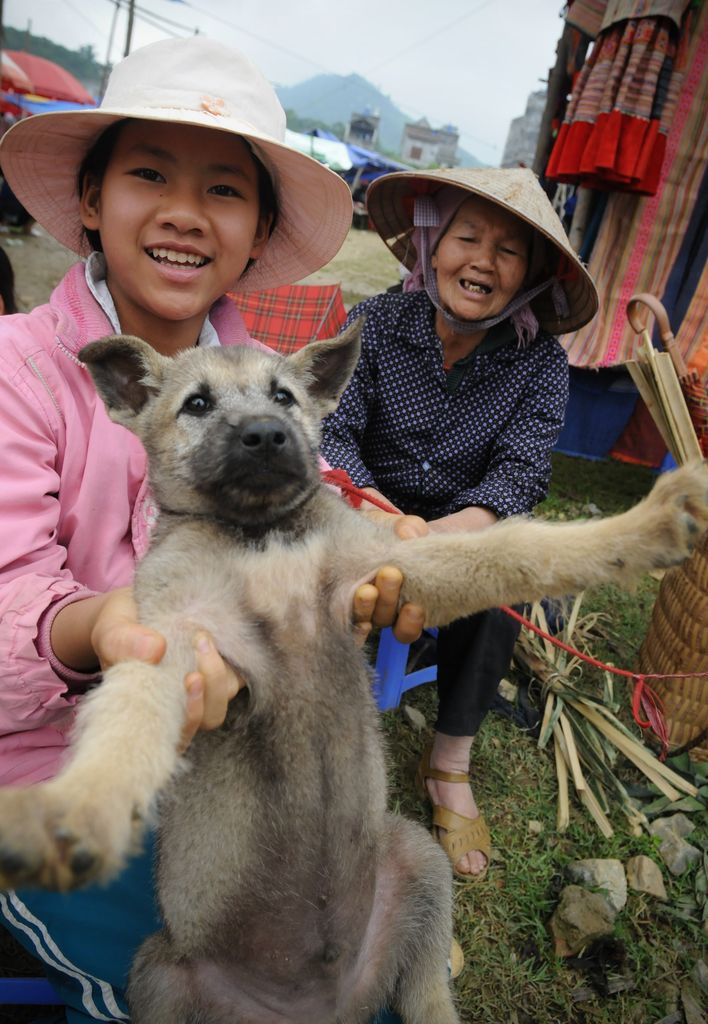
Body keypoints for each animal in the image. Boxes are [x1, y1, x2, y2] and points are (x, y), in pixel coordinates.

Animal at [0, 321, 704, 1024]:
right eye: (196, 404)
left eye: (284, 397)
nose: (266, 435)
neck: (263, 535)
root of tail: (325, 1008)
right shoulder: (175, 637)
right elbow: (127, 721)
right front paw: (81, 806)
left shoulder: (391, 565)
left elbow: (517, 548)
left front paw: (645, 528)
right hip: (160, 976)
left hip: (418, 862)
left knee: (427, 995)